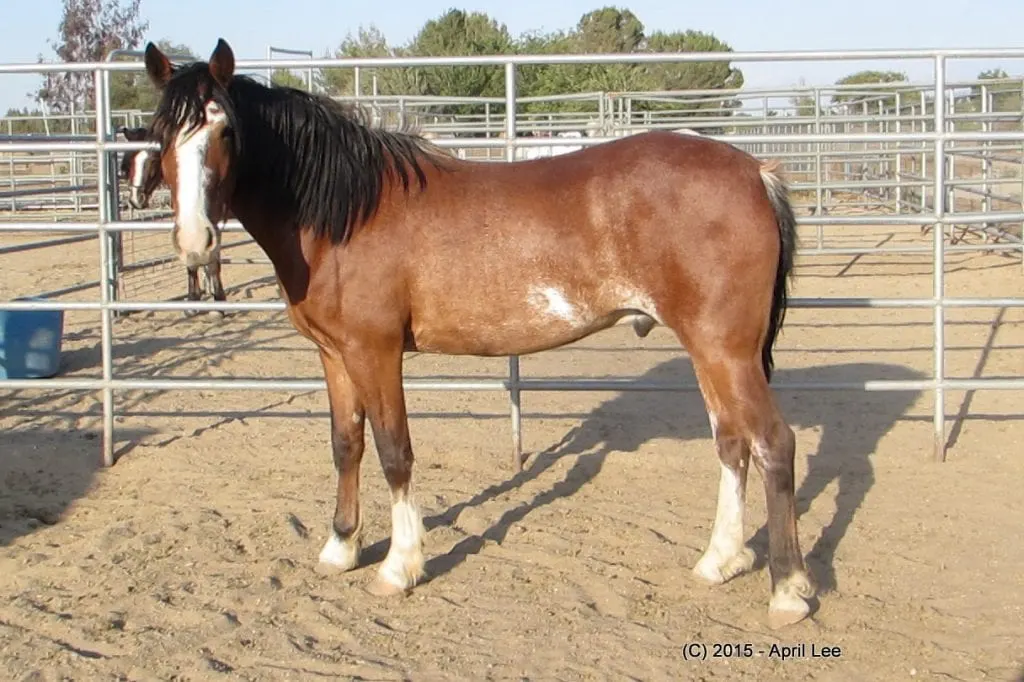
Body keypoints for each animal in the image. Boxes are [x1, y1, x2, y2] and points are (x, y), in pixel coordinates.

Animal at [117, 124, 228, 311]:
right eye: (131, 161)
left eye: (154, 159)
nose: (135, 199)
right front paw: (193, 300)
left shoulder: (213, 221)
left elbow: (213, 261)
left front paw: (219, 302)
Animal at [142, 38, 815, 626]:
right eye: (161, 133)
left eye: (224, 130)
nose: (196, 243)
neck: (344, 211)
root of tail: (755, 171)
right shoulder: (334, 355)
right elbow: (346, 444)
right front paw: (340, 548)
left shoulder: (376, 353)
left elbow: (394, 451)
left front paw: (399, 567)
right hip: (710, 351)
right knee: (731, 443)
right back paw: (719, 561)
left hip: (726, 350)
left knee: (773, 444)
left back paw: (788, 592)